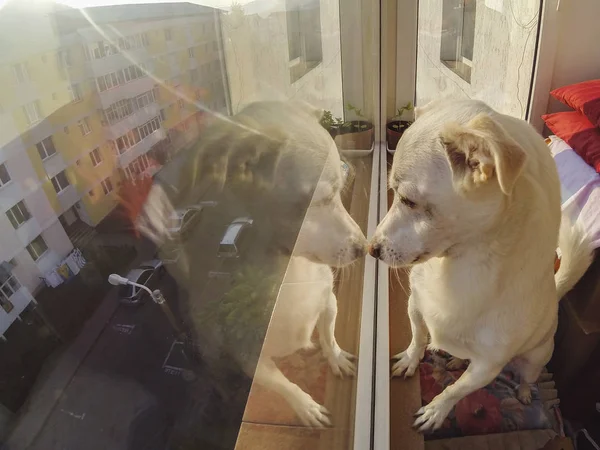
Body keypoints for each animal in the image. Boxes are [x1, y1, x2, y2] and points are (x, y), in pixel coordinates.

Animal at [370, 99, 592, 432]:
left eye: (407, 201)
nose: (370, 249)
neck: (457, 268)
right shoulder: (415, 307)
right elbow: (418, 337)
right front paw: (411, 360)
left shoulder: (488, 367)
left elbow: (455, 389)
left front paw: (436, 411)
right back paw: (452, 357)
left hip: (534, 359)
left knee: (527, 377)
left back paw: (524, 393)